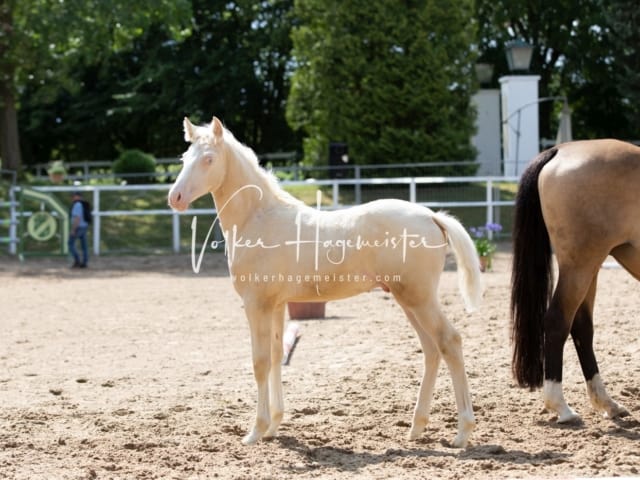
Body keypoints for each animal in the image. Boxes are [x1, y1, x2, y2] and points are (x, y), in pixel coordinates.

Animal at [510, 139, 636, 424]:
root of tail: (560, 150)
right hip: (580, 266)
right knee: (558, 321)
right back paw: (562, 407)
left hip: (589, 268)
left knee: (581, 327)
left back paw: (607, 403)